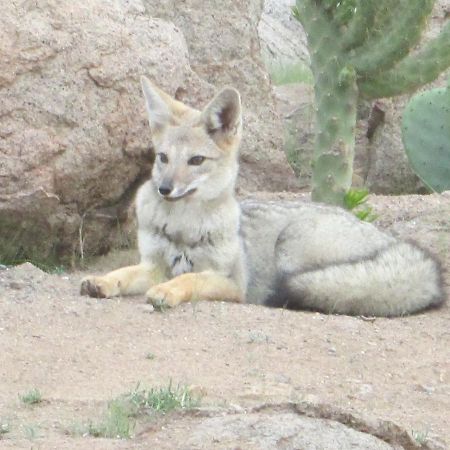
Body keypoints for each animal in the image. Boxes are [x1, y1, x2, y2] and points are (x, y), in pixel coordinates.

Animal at [80, 77, 442, 316]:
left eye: (196, 161)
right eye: (163, 158)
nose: (164, 189)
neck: (183, 230)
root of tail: (395, 242)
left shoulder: (230, 282)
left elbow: (191, 278)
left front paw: (168, 291)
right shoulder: (153, 264)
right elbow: (124, 273)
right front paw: (102, 281)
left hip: (290, 246)